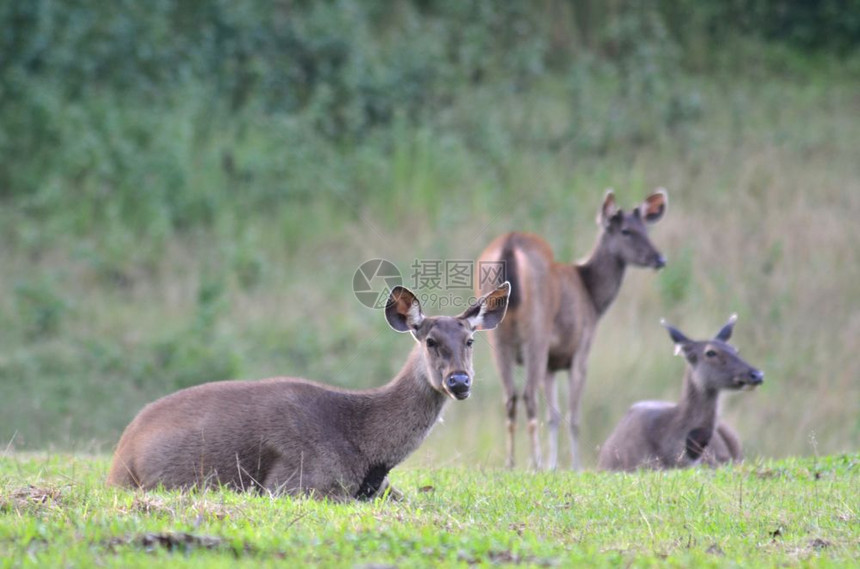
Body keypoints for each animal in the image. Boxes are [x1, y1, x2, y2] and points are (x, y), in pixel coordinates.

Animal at [107, 282, 510, 500]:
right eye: (430, 341)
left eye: (470, 340)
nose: (459, 382)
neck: (368, 450)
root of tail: (119, 454)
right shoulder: (292, 482)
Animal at [480, 189, 668, 468]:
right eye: (626, 231)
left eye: (647, 228)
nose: (660, 259)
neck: (592, 296)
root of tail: (510, 245)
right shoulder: (580, 350)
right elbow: (574, 417)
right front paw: (573, 466)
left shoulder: (552, 363)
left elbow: (554, 416)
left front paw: (553, 465)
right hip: (536, 332)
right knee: (528, 395)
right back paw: (534, 462)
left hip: (498, 337)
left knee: (510, 397)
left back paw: (511, 463)